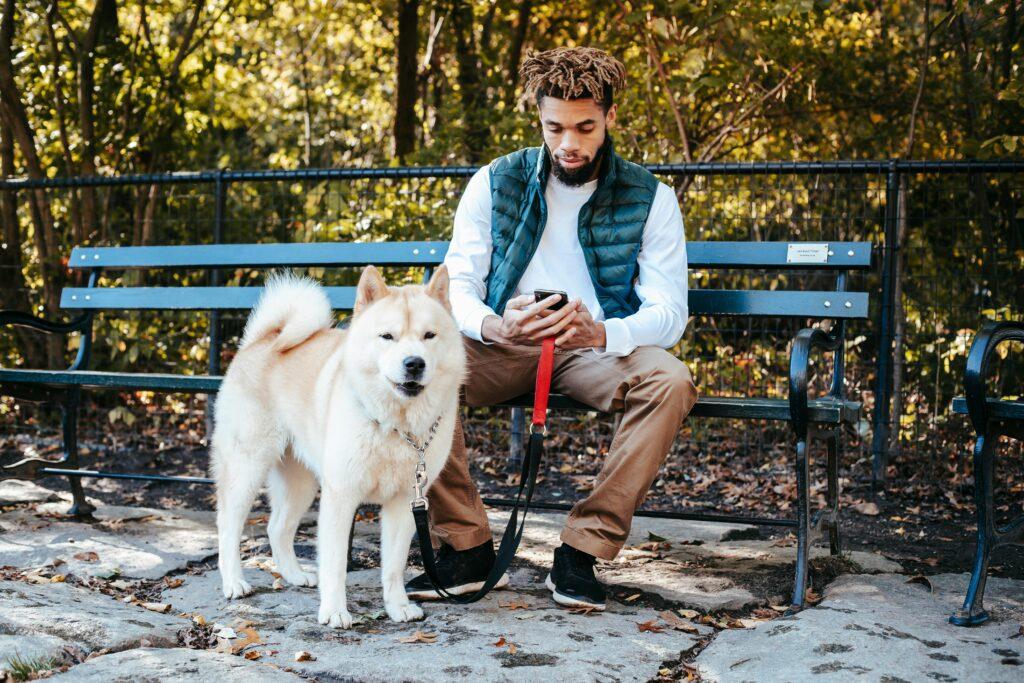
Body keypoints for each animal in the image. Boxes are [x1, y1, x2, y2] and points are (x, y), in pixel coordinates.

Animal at [210, 264, 464, 626]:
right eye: (387, 337)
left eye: (430, 335)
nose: (414, 363)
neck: (394, 425)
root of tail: (263, 339)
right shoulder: (341, 496)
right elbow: (335, 564)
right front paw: (334, 611)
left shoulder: (405, 502)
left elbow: (394, 566)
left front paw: (397, 606)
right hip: (247, 468)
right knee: (229, 527)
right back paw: (233, 582)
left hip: (301, 484)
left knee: (277, 528)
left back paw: (294, 575)